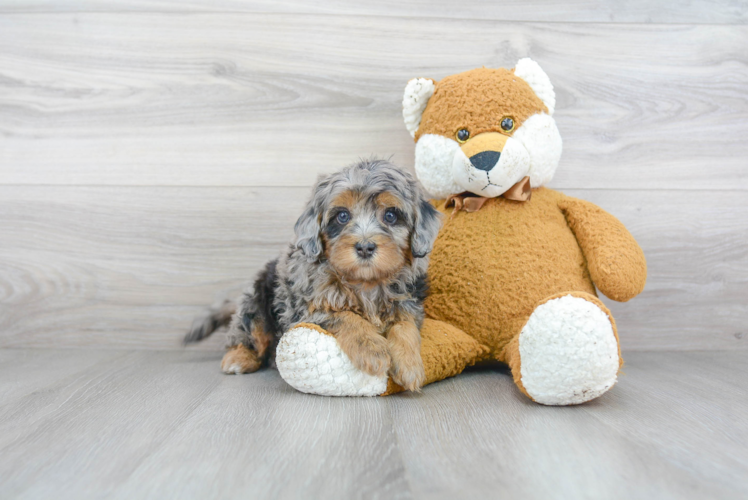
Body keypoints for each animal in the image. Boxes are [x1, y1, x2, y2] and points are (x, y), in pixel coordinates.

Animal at [186, 159, 442, 390]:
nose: (365, 247)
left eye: (390, 215)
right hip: (255, 301)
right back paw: (238, 358)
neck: (365, 282)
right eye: (342, 216)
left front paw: (409, 365)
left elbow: (405, 326)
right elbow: (345, 315)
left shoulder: (409, 303)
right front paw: (372, 349)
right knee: (247, 335)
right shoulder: (305, 309)